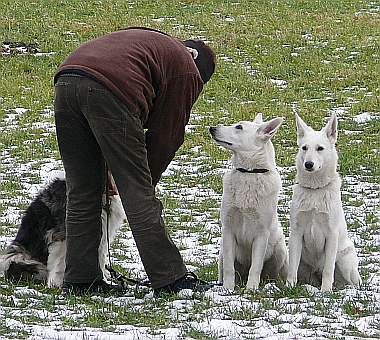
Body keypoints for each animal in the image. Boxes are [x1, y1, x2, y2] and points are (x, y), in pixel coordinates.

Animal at [211, 113, 288, 290]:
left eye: (239, 127)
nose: (212, 128)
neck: (249, 172)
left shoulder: (261, 234)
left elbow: (256, 267)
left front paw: (251, 289)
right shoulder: (228, 229)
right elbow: (229, 268)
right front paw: (227, 289)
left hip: (280, 250)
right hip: (221, 253)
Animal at [286, 113, 360, 290]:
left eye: (320, 148)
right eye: (304, 148)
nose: (308, 164)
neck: (315, 190)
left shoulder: (331, 234)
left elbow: (328, 269)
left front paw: (325, 291)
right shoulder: (296, 232)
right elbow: (292, 267)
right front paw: (288, 287)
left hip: (345, 261)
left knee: (353, 282)